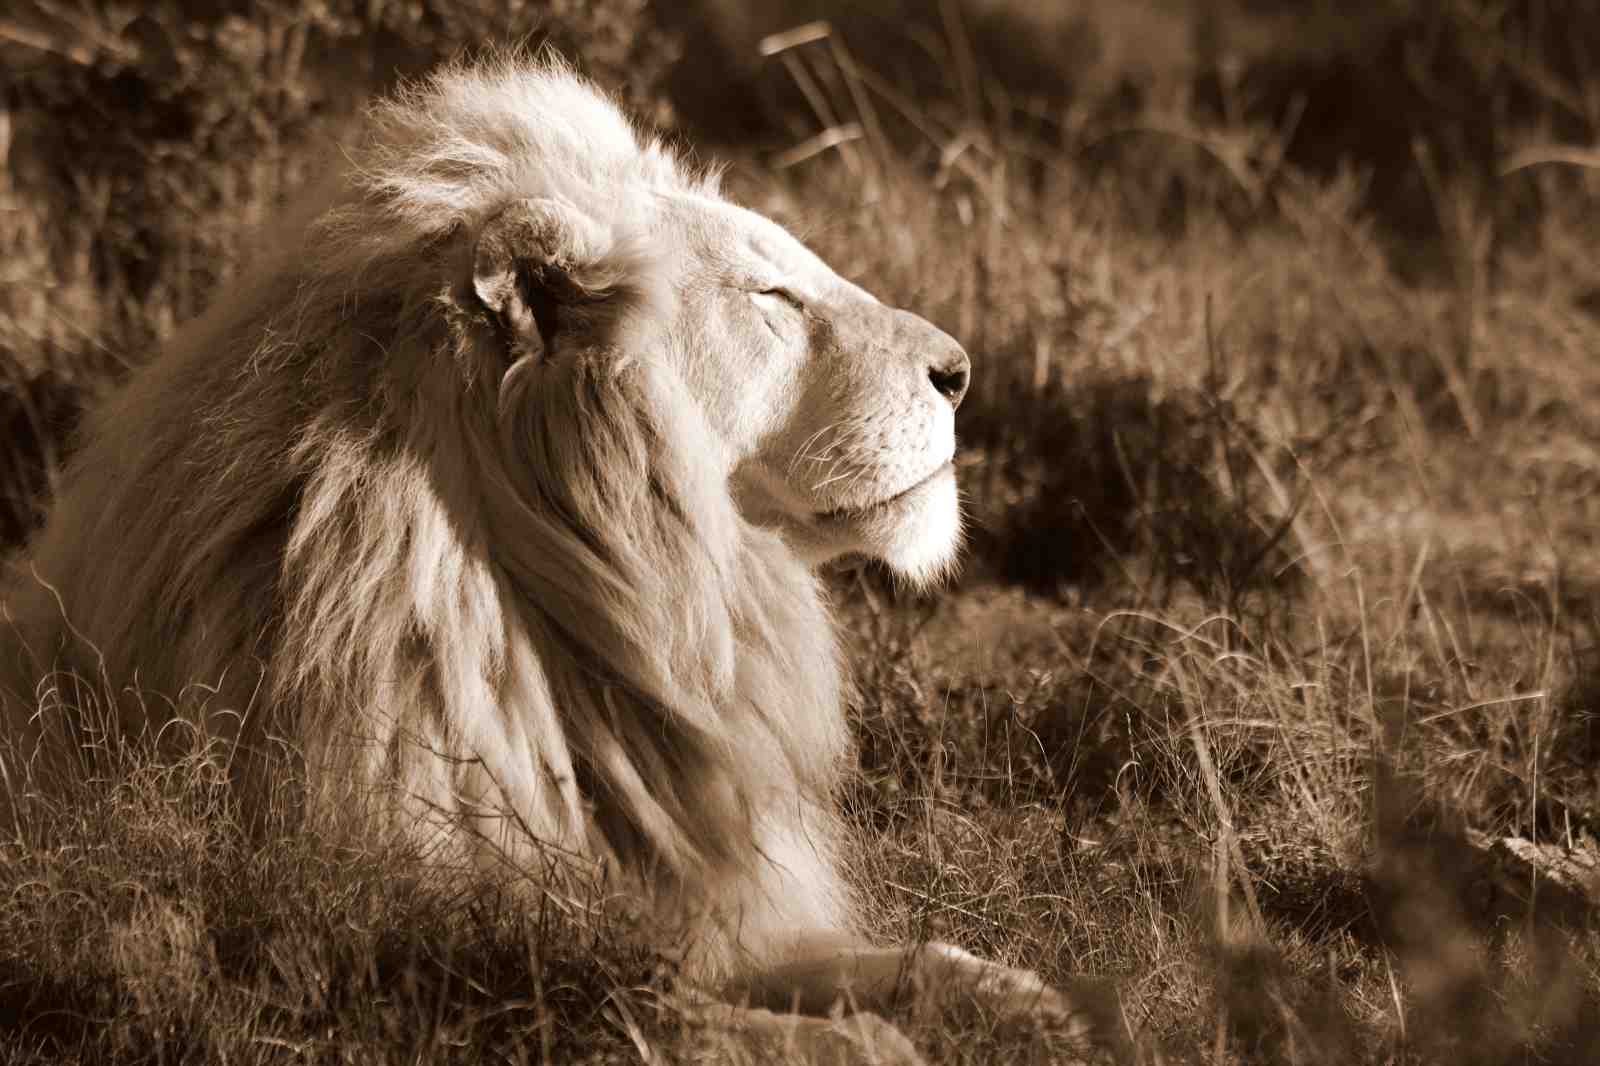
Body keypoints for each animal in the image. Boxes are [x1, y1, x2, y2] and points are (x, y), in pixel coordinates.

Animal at [0, 55, 1123, 1061]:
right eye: (773, 296)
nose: (961, 372)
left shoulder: (706, 896)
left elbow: (906, 964)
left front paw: (1045, 1008)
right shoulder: (408, 970)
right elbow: (694, 1021)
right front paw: (873, 1042)